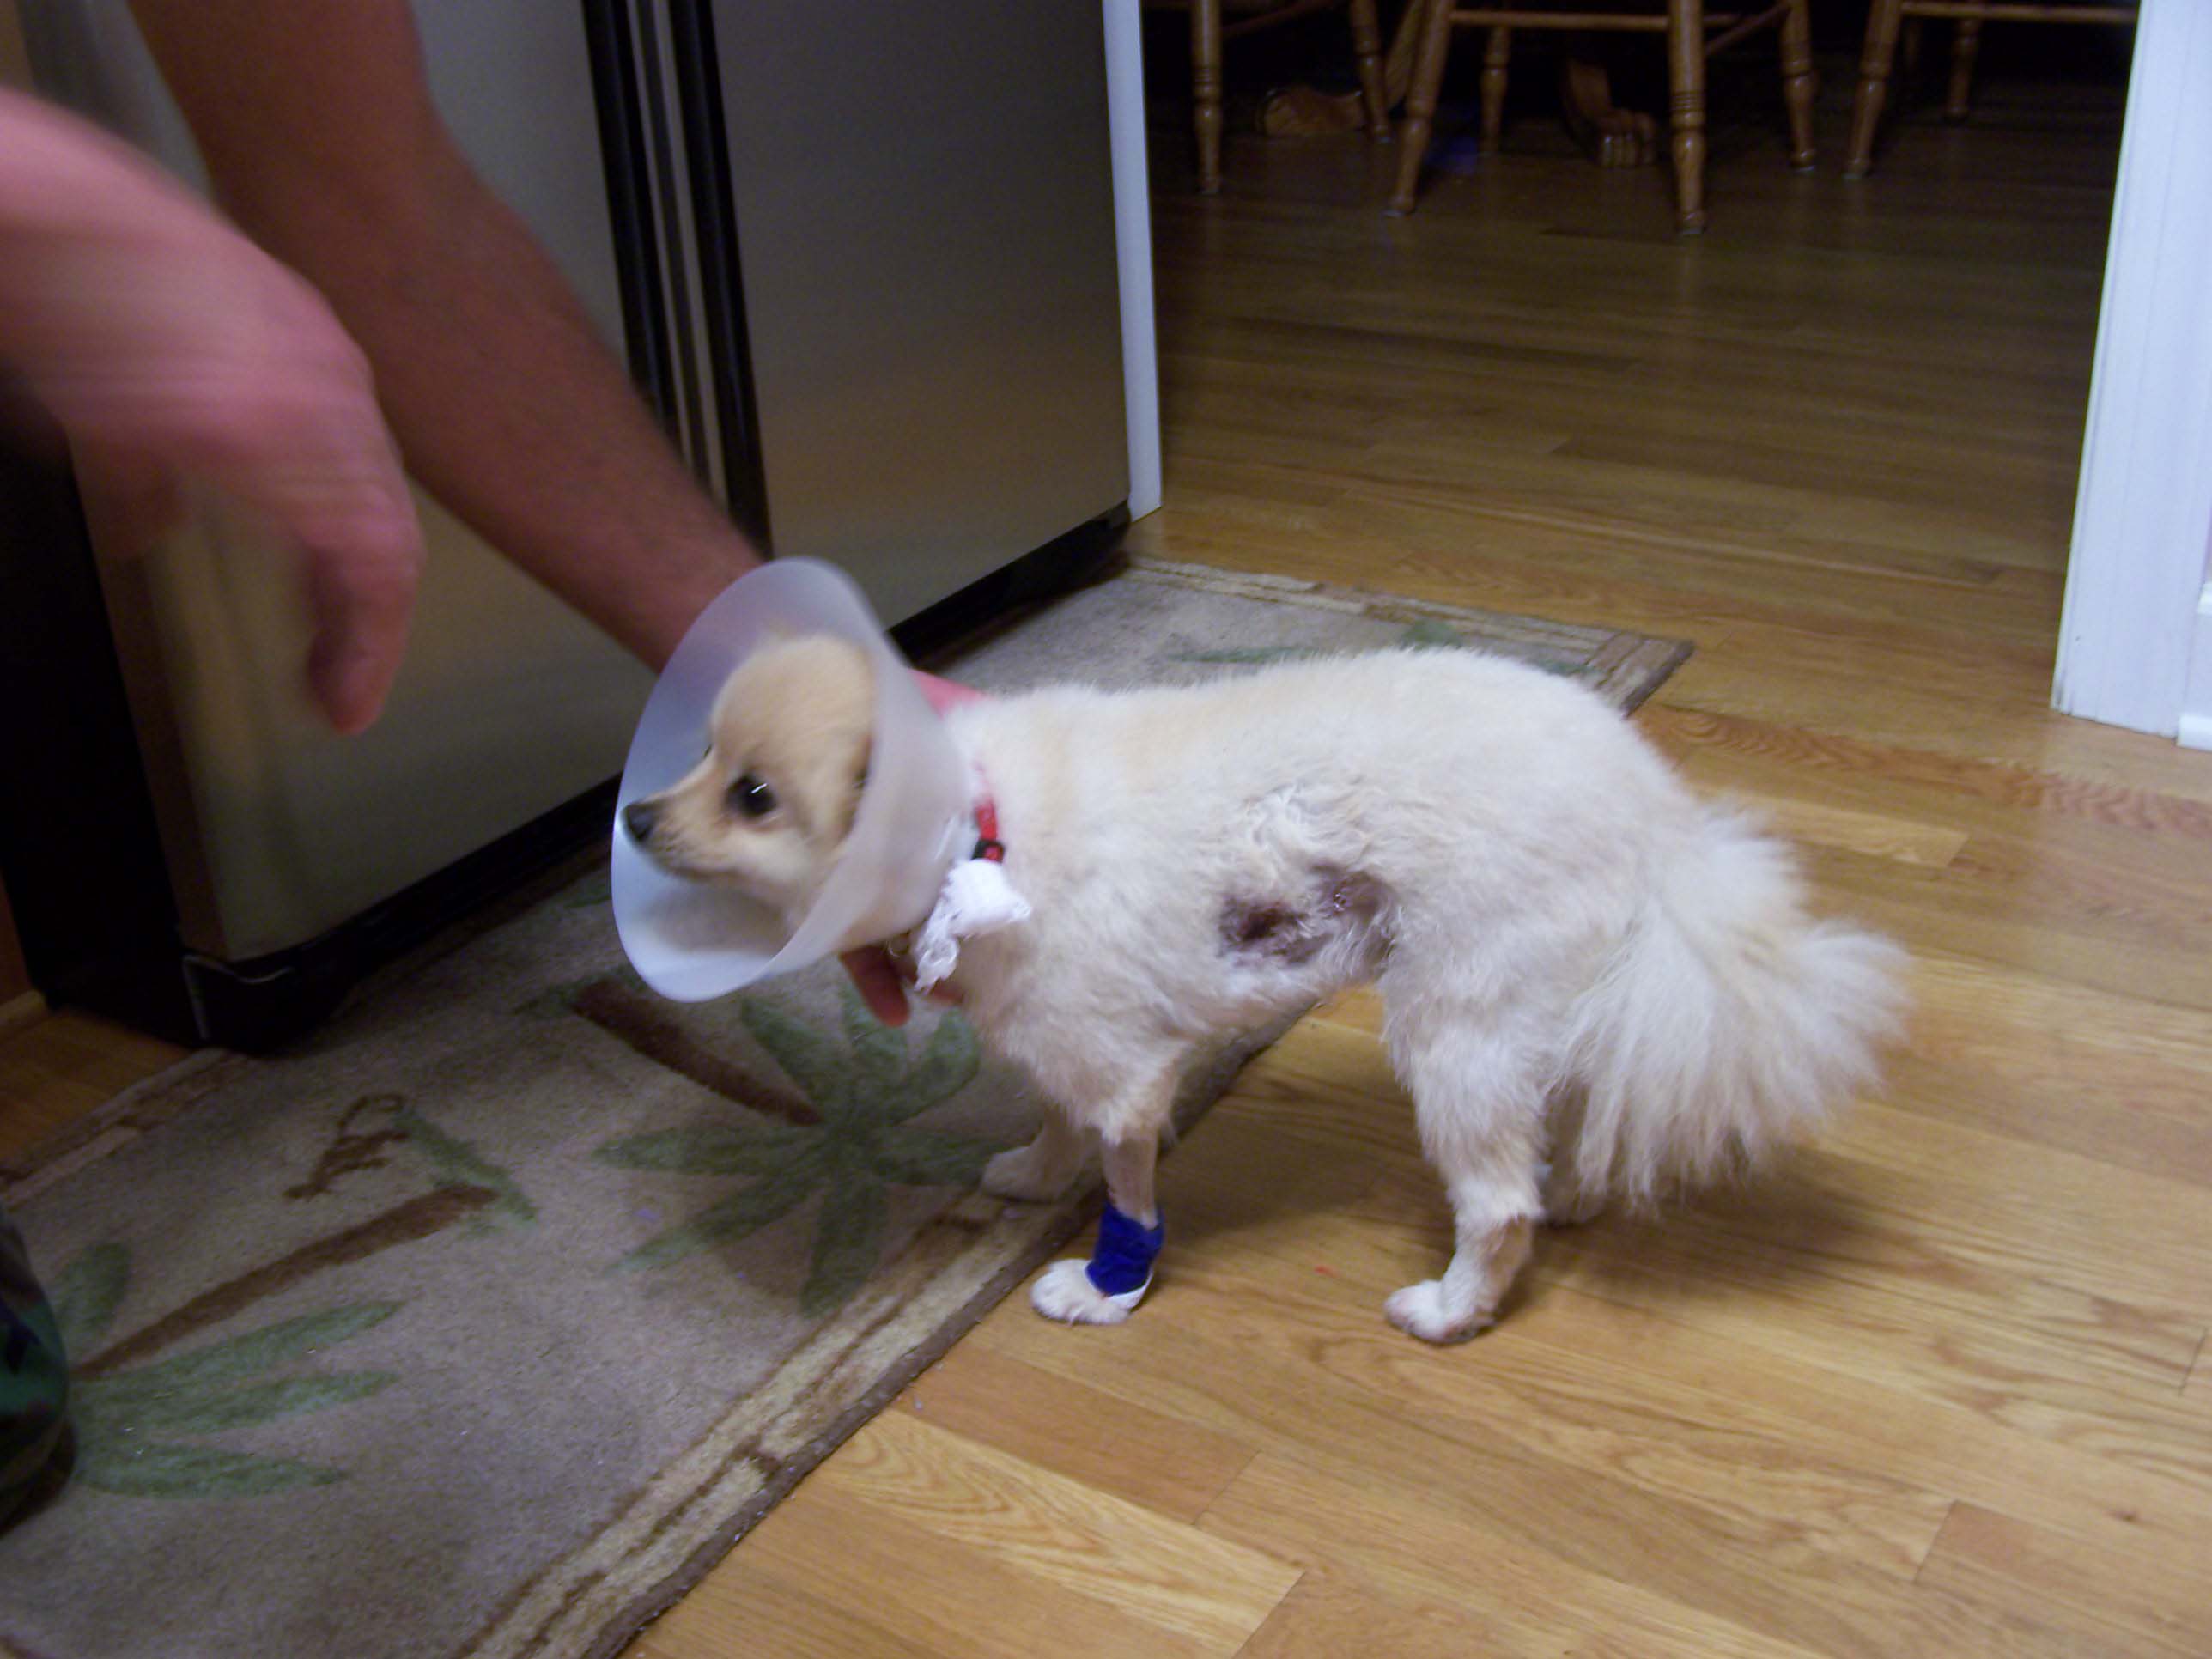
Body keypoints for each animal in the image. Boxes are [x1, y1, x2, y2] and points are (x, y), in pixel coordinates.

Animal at [624, 632, 1906, 1343]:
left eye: (752, 796)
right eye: (698, 749)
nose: (631, 818)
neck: (972, 839)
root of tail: (1652, 810)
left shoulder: (1127, 1076)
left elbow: (1127, 1192)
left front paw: (1102, 1293)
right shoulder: (1063, 1037)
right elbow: (1052, 1117)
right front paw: (1032, 1173)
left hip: (1450, 1025)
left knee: (1497, 1206)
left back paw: (1451, 1310)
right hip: (1539, 998)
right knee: (1579, 1102)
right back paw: (1578, 1190)